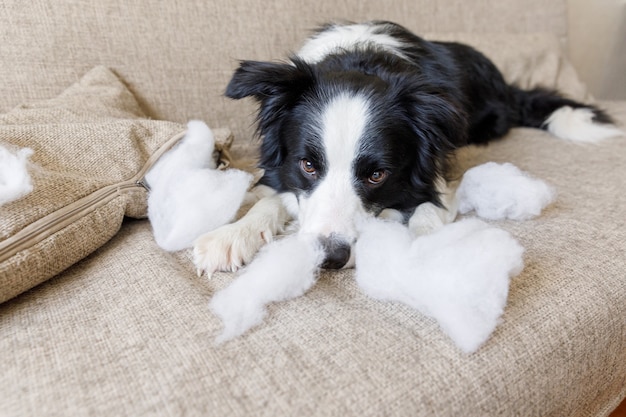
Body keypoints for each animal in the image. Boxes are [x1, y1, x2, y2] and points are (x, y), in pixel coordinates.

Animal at [193, 19, 616, 274]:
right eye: (308, 165)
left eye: (377, 174)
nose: (331, 259)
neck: (361, 62)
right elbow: (273, 199)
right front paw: (230, 236)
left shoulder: (435, 170)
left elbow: (428, 210)